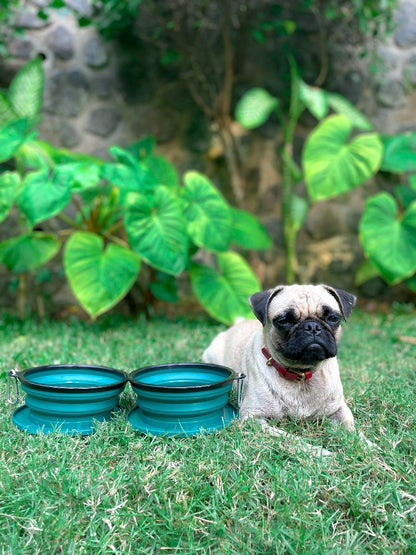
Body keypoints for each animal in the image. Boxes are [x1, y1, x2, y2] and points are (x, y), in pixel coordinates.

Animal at [203, 286, 356, 444]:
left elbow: (353, 433)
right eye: (284, 321)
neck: (301, 374)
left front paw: (362, 443)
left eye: (333, 318)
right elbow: (293, 440)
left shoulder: (339, 409)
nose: (312, 326)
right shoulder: (252, 418)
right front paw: (317, 449)